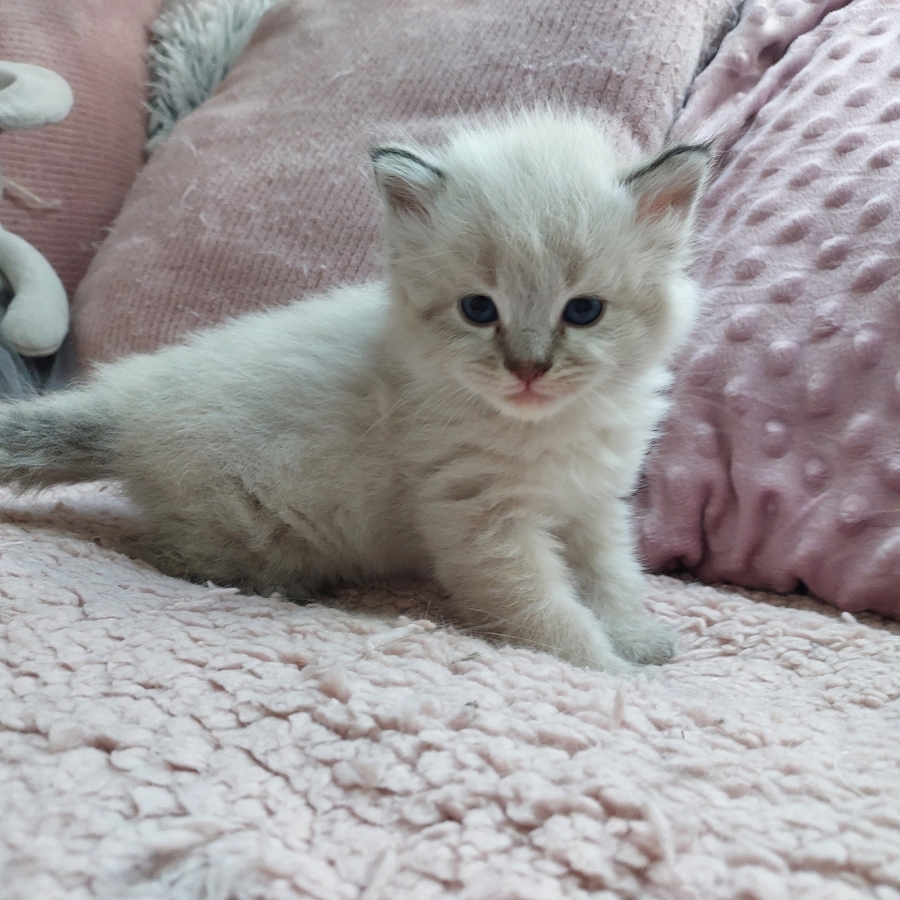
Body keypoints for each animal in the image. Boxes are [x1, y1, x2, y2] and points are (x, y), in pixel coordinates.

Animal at [0, 108, 710, 672]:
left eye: (584, 311)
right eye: (479, 310)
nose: (528, 368)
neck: (548, 430)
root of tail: (127, 406)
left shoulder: (593, 506)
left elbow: (612, 580)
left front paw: (636, 639)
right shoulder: (482, 525)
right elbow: (550, 611)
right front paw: (609, 669)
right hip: (255, 524)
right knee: (169, 552)